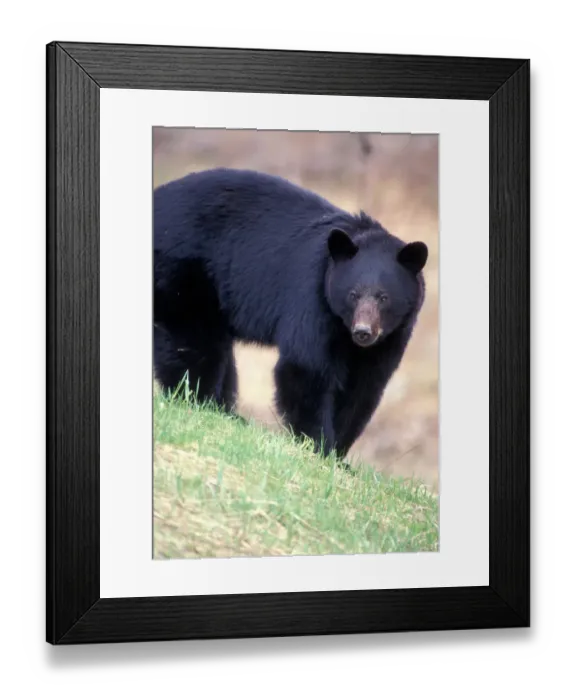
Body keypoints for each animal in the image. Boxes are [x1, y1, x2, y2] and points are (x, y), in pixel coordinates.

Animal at [153, 167, 428, 458]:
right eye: (353, 295)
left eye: (384, 297)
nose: (363, 332)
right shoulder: (312, 298)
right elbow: (307, 366)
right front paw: (319, 445)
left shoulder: (393, 336)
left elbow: (364, 386)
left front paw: (339, 454)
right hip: (183, 274)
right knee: (192, 341)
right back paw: (200, 401)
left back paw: (225, 410)